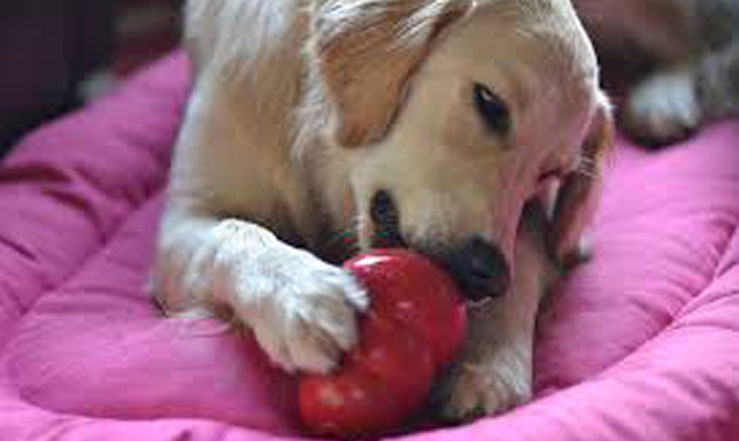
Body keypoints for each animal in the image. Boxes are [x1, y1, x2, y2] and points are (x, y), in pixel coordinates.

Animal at [152, 0, 612, 420]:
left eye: (551, 172)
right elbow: (233, 232)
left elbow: (527, 267)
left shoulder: (529, 223)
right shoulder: (183, 221)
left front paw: (487, 366)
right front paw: (300, 293)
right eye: (490, 103)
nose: (488, 275)